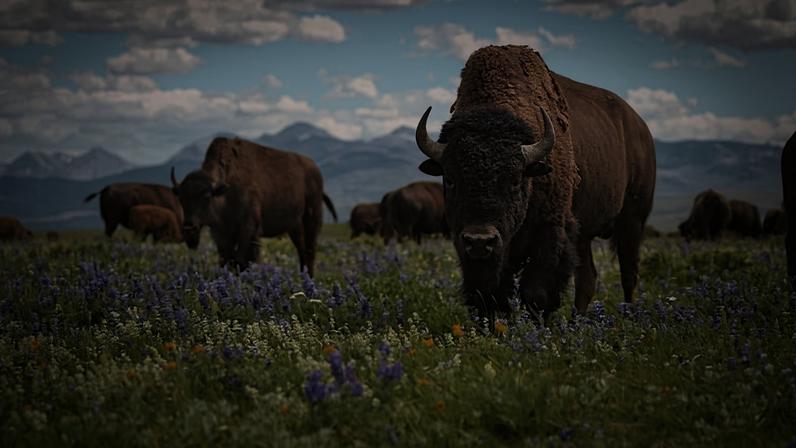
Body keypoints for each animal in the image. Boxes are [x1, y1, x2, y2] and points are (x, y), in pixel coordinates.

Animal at [171, 137, 337, 275]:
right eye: (181, 197)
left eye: (206, 196)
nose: (189, 228)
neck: (224, 190)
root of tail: (315, 170)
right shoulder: (221, 233)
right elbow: (227, 260)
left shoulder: (249, 229)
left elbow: (242, 260)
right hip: (294, 227)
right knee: (302, 251)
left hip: (312, 218)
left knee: (310, 250)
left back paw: (310, 278)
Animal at [414, 45, 656, 319]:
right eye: (451, 179)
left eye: (515, 180)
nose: (480, 240)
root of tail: (642, 128)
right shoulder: (468, 245)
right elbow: (487, 296)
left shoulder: (550, 234)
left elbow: (537, 294)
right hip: (585, 233)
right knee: (588, 278)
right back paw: (578, 321)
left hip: (632, 221)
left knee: (628, 274)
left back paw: (628, 316)